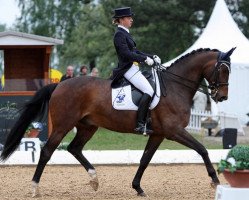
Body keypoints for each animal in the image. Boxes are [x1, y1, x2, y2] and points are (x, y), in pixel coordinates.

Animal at [0, 47, 235, 198]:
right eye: (222, 70)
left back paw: (94, 179)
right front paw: (214, 180)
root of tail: (59, 85)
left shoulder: (158, 134)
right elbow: (202, 149)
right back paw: (34, 188)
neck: (175, 87)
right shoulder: (173, 131)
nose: (222, 96)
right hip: (62, 125)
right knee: (47, 151)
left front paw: (138, 188)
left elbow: (145, 159)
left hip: (87, 126)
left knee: (74, 148)